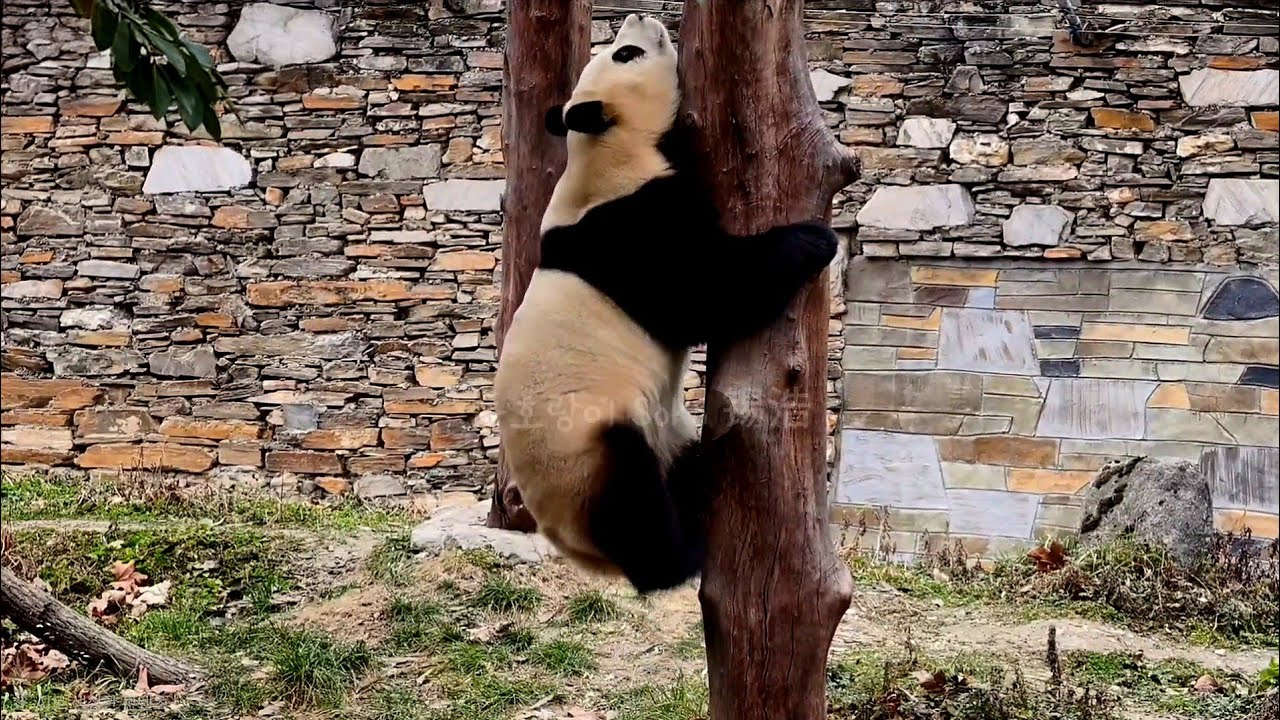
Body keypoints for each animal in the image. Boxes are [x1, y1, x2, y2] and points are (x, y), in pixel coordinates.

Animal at [494, 13, 838, 594]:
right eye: (626, 55)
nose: (641, 17)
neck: (603, 150)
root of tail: (575, 548)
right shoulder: (630, 229)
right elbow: (704, 295)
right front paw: (814, 240)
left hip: (661, 433)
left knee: (678, 460)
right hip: (584, 447)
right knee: (633, 499)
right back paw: (681, 556)